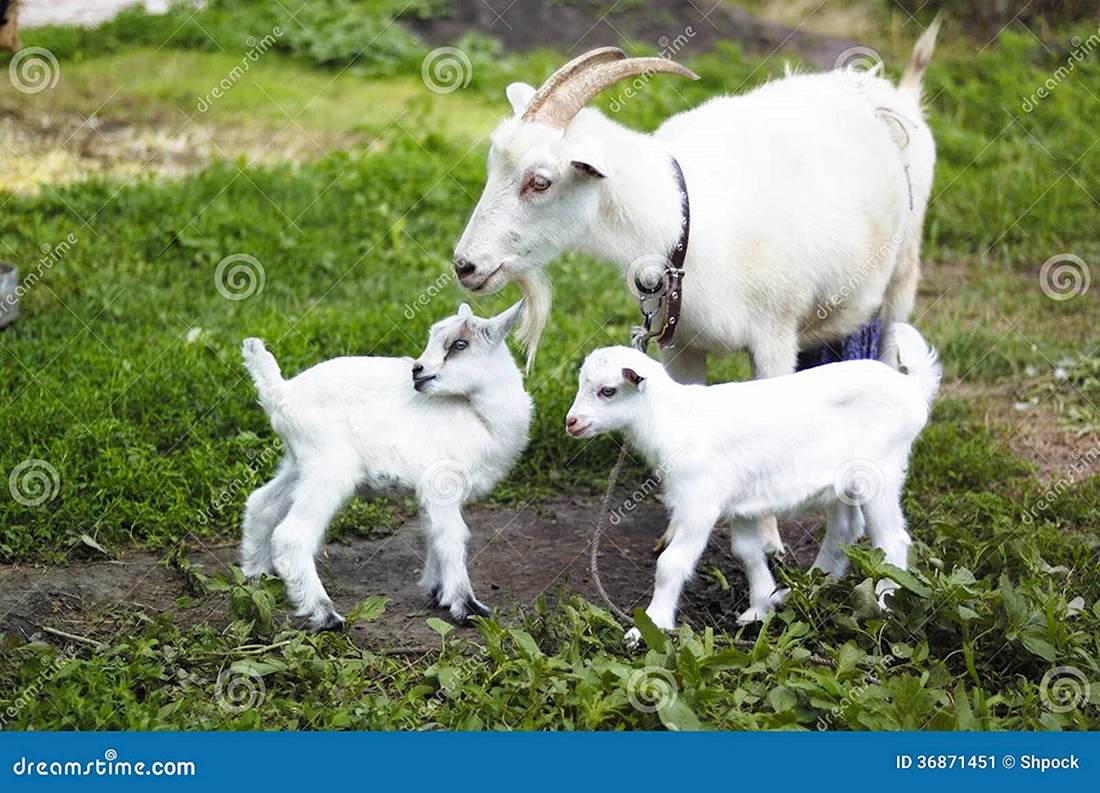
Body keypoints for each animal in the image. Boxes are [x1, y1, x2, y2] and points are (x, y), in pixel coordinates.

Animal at [239, 301, 531, 630]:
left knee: (261, 504)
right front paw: (466, 607)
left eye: (459, 344)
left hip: (298, 464)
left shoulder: (433, 492)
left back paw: (255, 578)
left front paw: (437, 592)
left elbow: (434, 533)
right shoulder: (441, 484)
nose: (417, 369)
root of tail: (281, 393)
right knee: (291, 536)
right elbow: (452, 537)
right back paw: (325, 615)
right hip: (328, 467)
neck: (480, 417)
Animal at [565, 323, 941, 641]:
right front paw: (761, 607)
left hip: (880, 472)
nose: (572, 422)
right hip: (842, 484)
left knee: (891, 540)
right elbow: (747, 552)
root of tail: (912, 387)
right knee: (845, 530)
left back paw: (884, 608)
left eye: (608, 391)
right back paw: (810, 587)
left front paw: (649, 626)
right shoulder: (741, 503)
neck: (674, 419)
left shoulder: (699, 502)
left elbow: (671, 563)